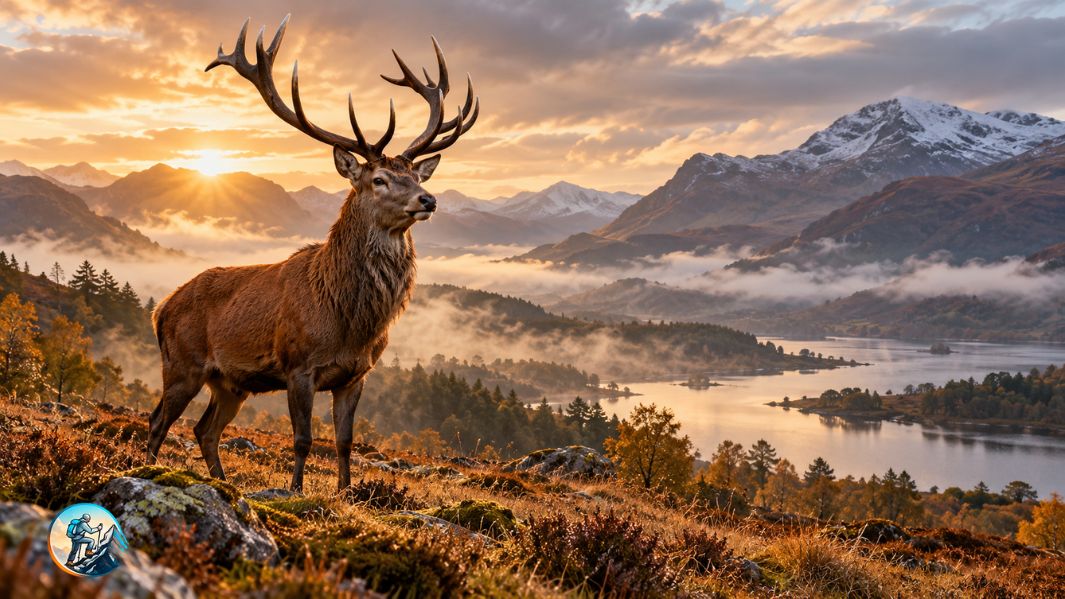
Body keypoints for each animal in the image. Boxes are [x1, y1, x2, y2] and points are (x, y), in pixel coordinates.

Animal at [146, 15, 478, 492]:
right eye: (378, 179)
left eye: (416, 175)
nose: (428, 200)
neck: (349, 320)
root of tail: (160, 309)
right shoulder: (297, 366)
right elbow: (302, 439)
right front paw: (295, 490)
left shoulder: (356, 374)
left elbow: (344, 441)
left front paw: (346, 492)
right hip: (182, 363)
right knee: (158, 421)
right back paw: (148, 469)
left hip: (229, 383)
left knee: (204, 429)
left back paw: (224, 483)